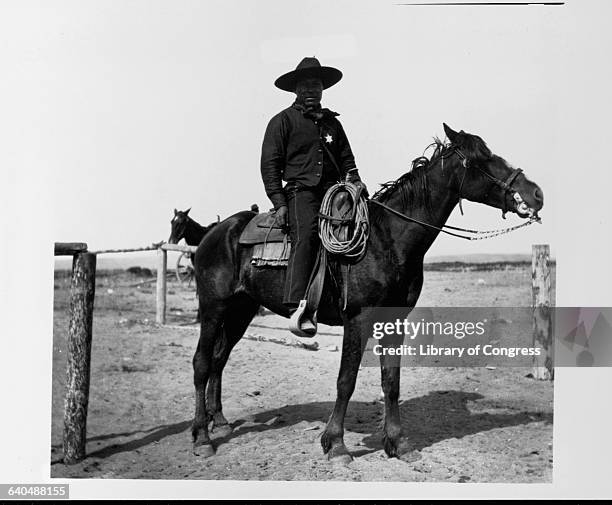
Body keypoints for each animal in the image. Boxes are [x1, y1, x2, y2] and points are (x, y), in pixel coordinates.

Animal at [192, 125, 544, 460]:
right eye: (483, 158)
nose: (537, 193)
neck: (386, 239)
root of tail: (216, 232)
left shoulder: (394, 322)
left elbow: (391, 381)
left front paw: (398, 442)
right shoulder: (357, 320)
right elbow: (346, 380)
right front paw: (335, 444)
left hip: (241, 311)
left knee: (219, 359)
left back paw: (218, 420)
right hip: (213, 309)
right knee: (202, 363)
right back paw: (202, 438)